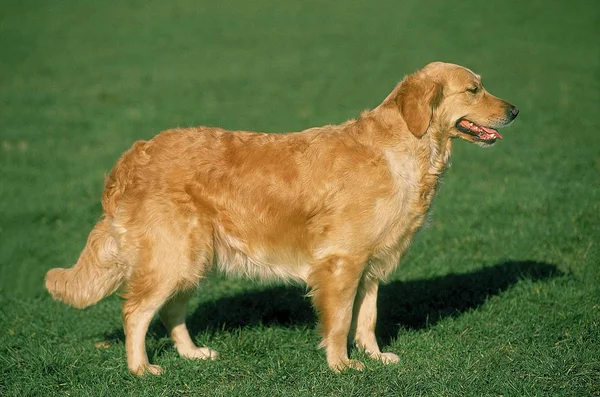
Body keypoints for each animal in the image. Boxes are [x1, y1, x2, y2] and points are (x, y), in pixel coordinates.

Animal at [45, 62, 516, 374]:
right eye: (473, 89)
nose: (514, 110)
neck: (402, 147)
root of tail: (132, 156)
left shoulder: (371, 264)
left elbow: (366, 319)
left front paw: (375, 356)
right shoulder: (341, 262)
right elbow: (340, 322)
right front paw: (342, 367)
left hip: (192, 259)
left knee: (171, 311)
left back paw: (193, 354)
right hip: (173, 256)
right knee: (136, 312)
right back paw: (141, 369)